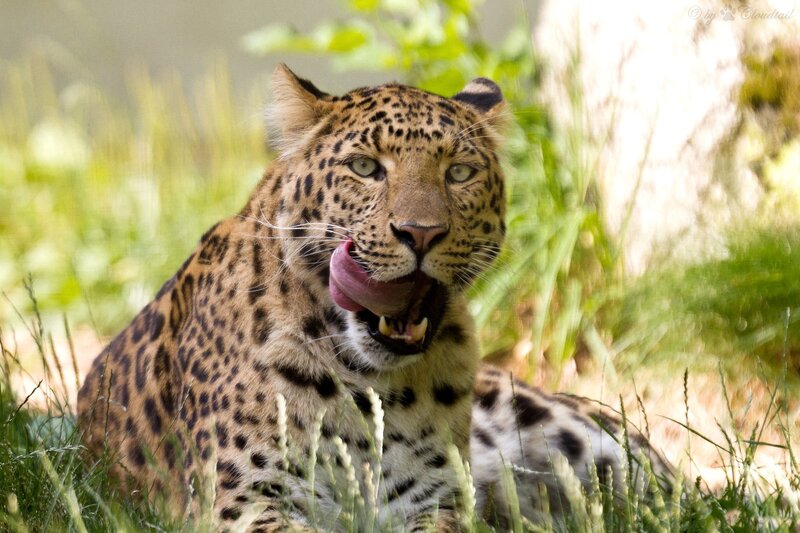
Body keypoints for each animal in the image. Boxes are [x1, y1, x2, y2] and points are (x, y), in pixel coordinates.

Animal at [77, 64, 673, 532]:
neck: (368, 386)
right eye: (365, 168)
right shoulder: (243, 501)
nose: (421, 233)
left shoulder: (437, 502)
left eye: (459, 172)